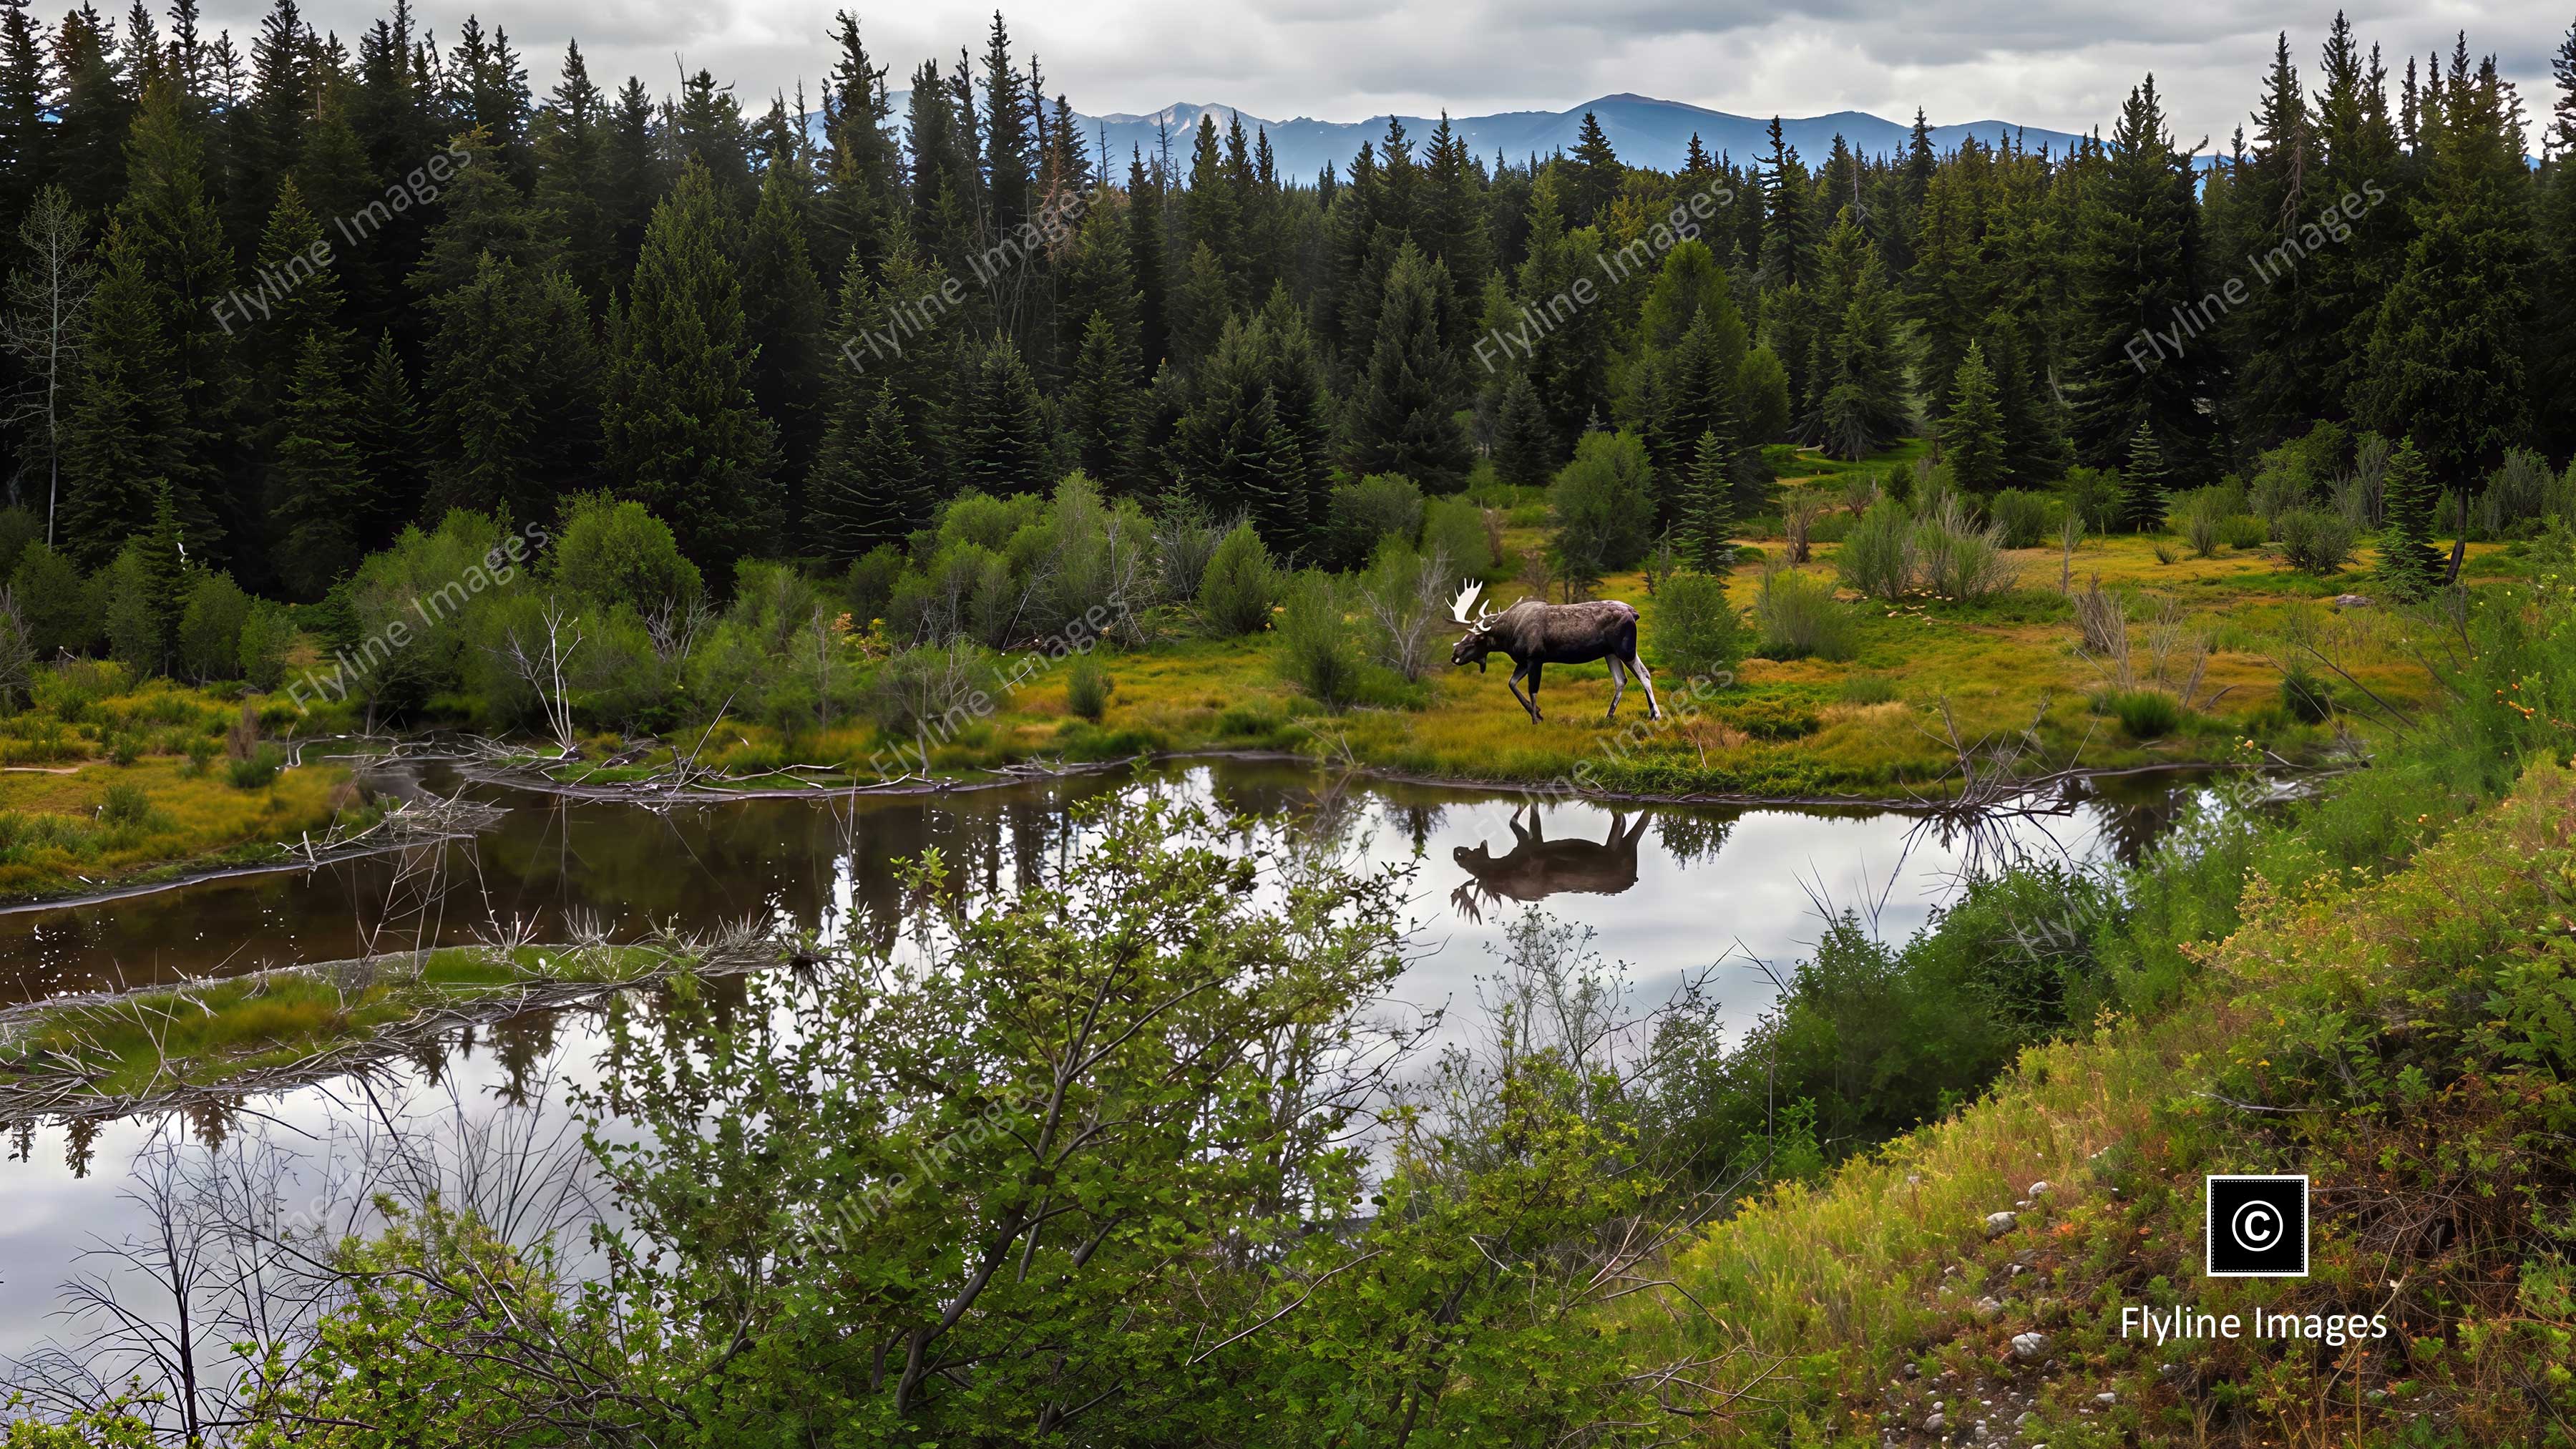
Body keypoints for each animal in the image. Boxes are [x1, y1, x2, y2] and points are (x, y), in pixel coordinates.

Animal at [1449, 582, 1659, 724]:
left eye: (1475, 639)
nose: (1454, 655)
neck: (1508, 635)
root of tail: (1634, 613)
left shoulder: (1535, 658)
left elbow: (1532, 689)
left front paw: (1536, 719)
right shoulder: (1524, 661)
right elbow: (1512, 684)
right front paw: (1538, 713)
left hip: (1625, 649)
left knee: (1644, 675)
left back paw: (1655, 715)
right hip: (1611, 653)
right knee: (1621, 680)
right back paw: (1609, 716)